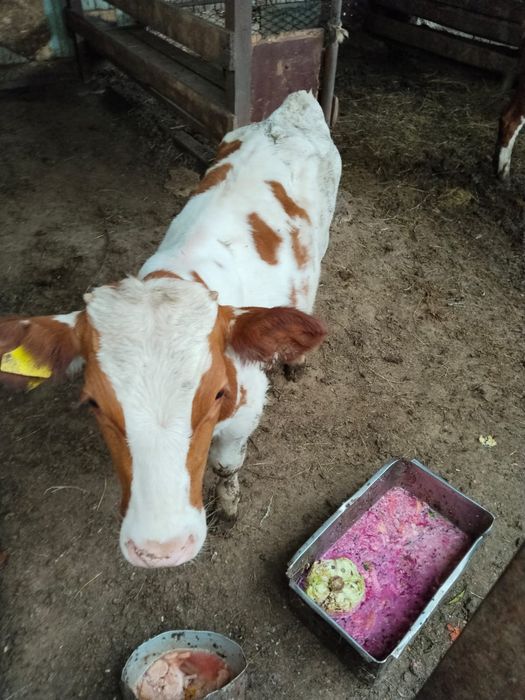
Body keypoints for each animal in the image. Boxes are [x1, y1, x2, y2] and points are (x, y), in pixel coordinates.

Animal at [0, 91, 342, 567]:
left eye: (218, 392)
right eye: (92, 402)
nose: (161, 550)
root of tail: (293, 107)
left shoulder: (248, 408)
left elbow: (227, 466)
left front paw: (229, 506)